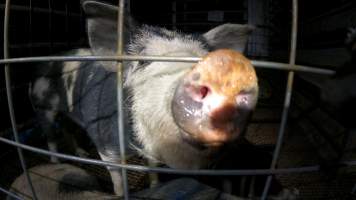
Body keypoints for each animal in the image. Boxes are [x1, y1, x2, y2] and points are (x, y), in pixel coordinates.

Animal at [27, 0, 256, 195]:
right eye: (143, 62)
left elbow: (152, 168)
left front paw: (154, 186)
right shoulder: (105, 143)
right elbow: (118, 178)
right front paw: (120, 194)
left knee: (67, 128)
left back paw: (80, 154)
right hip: (42, 106)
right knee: (51, 136)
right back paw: (56, 164)